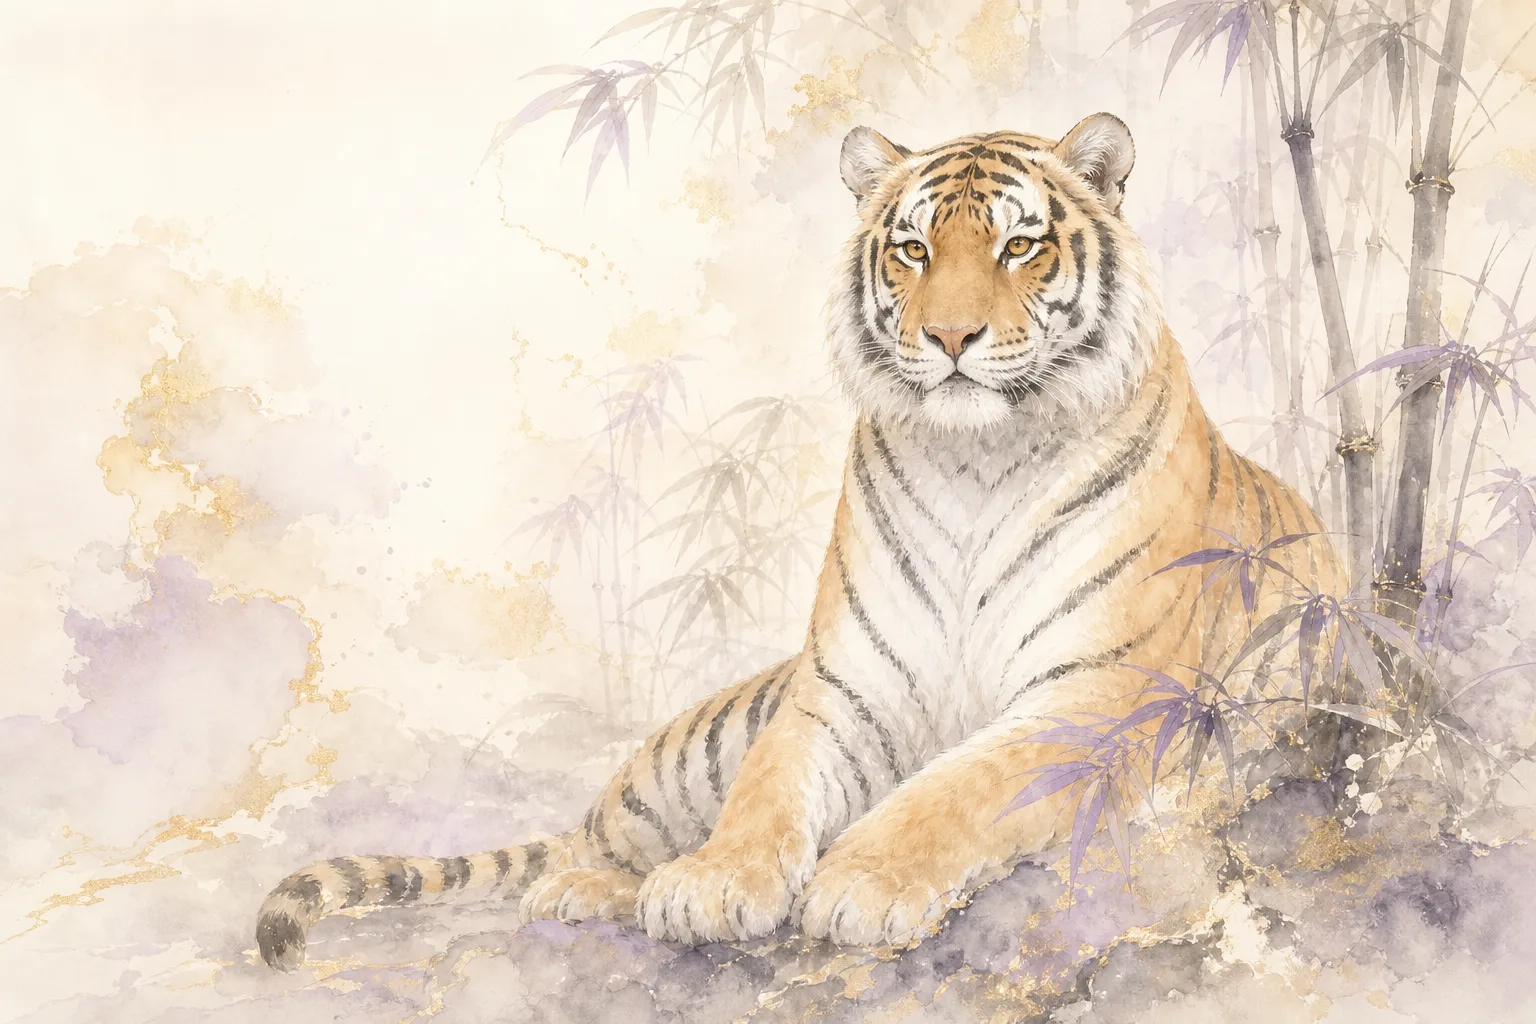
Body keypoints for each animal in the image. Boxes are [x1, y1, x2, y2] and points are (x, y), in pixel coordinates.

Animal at [255, 112, 1344, 969]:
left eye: (1018, 247)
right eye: (913, 250)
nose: (950, 338)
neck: (978, 460)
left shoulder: (1098, 694)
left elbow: (960, 785)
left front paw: (863, 883)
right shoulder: (842, 685)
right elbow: (769, 789)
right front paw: (715, 882)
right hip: (686, 752)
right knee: (589, 846)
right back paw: (597, 886)